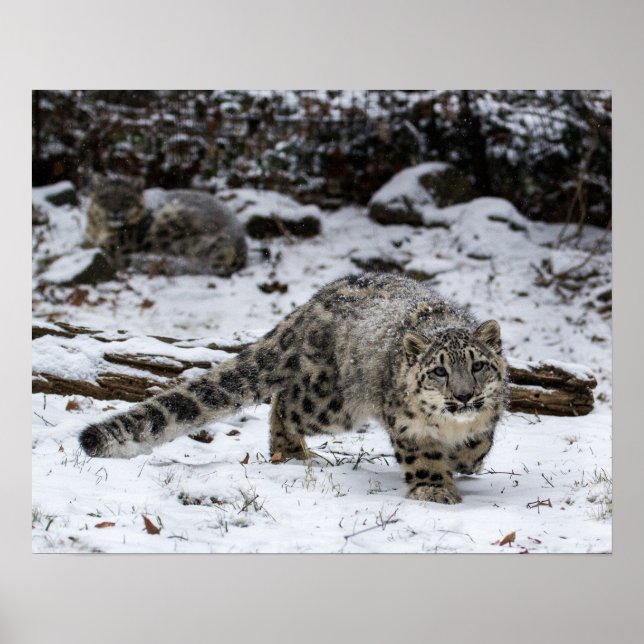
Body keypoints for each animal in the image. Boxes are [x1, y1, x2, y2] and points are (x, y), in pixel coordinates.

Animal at [79, 273, 507, 504]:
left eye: (478, 365)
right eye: (439, 371)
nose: (464, 395)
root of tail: (313, 301)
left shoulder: (487, 417)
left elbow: (478, 445)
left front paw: (463, 461)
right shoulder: (408, 425)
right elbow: (422, 457)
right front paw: (435, 490)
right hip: (332, 403)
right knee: (284, 403)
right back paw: (293, 452)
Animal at [84, 176, 247, 276]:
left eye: (127, 198)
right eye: (104, 197)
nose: (115, 211)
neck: (99, 231)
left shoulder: (117, 245)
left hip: (169, 222)